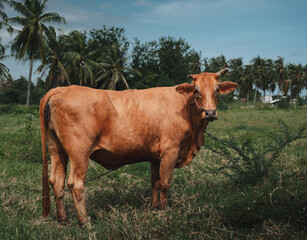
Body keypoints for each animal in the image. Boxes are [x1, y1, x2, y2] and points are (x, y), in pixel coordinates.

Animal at [40, 68, 238, 225]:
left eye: (217, 90)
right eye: (196, 91)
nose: (210, 113)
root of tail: (62, 88)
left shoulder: (155, 157)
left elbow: (155, 182)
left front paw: (154, 207)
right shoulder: (171, 152)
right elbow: (165, 183)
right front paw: (165, 210)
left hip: (56, 149)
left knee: (56, 181)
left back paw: (63, 219)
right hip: (79, 153)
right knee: (76, 184)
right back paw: (85, 221)